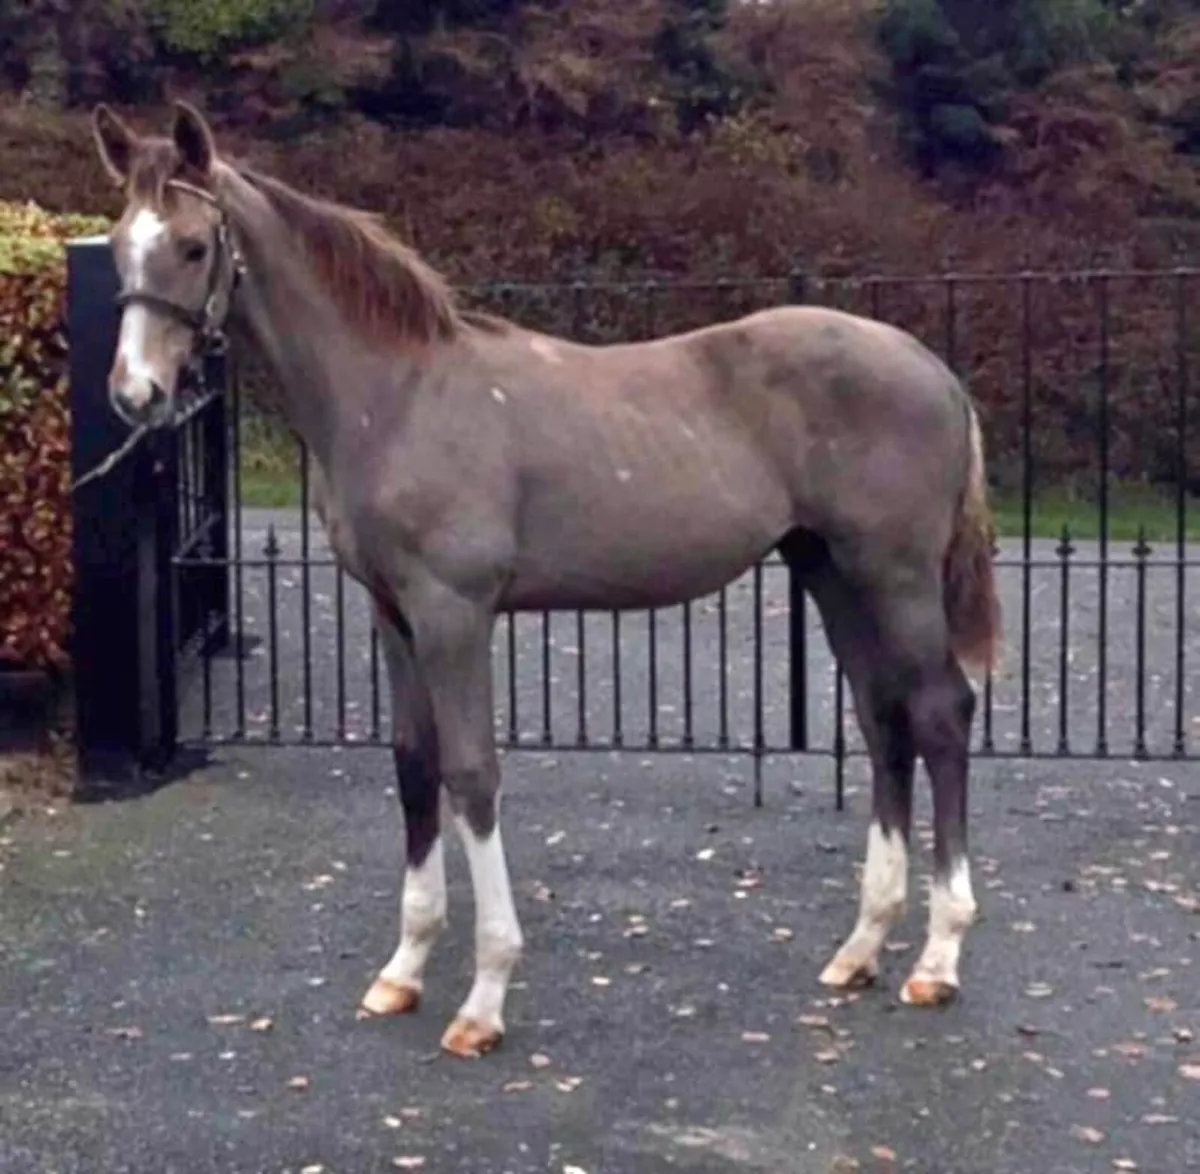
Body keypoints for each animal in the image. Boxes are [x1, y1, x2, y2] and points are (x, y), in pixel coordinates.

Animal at [90, 100, 1001, 1059]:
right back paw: (861, 948)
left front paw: (484, 998)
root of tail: (933, 371)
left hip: (895, 576)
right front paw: (404, 970)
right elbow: (415, 764)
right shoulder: (393, 613)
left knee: (940, 714)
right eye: (118, 243)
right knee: (883, 721)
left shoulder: (454, 613)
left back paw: (937, 958)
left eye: (194, 245)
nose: (135, 395)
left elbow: (472, 773)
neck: (399, 394)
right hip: (831, 571)